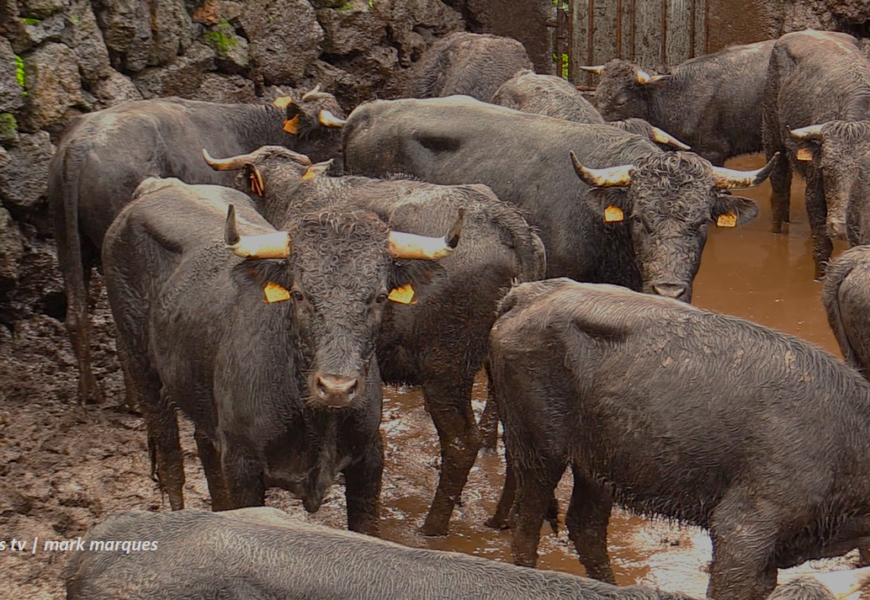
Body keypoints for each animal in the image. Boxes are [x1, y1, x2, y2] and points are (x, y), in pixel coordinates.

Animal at [99, 177, 460, 536]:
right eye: (299, 294)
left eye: (380, 296)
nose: (337, 387)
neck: (315, 418)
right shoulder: (242, 467)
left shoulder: (370, 458)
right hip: (139, 363)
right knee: (170, 457)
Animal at [490, 280, 870, 600]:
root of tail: (529, 292)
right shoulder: (742, 531)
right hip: (539, 451)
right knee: (526, 527)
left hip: (597, 464)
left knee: (586, 527)